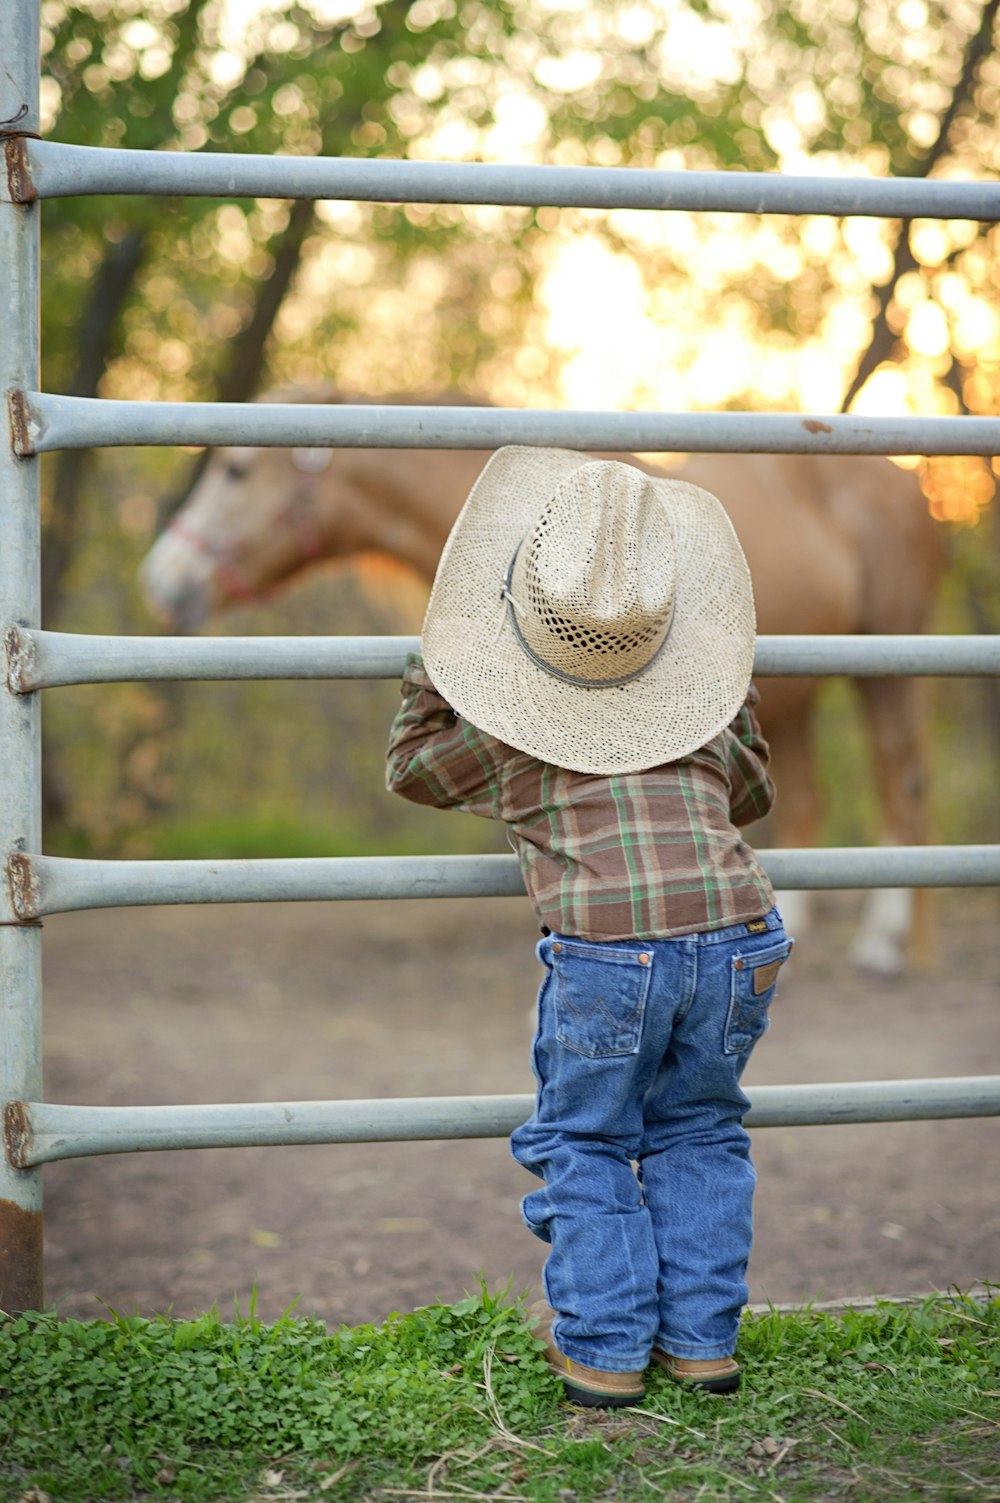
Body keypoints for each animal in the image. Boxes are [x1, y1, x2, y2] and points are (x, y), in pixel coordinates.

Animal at [138, 387, 944, 973]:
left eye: (237, 470)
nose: (163, 581)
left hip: (888, 671)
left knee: (902, 781)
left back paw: (882, 944)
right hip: (803, 699)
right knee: (806, 800)